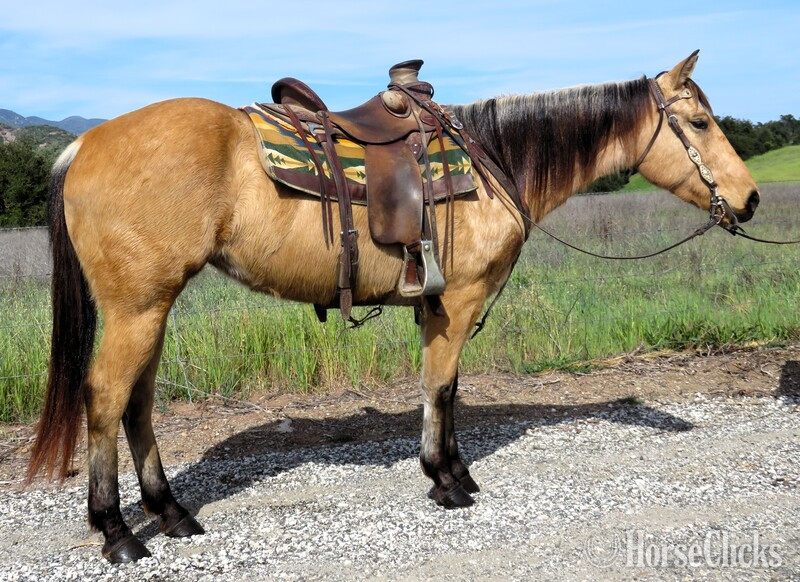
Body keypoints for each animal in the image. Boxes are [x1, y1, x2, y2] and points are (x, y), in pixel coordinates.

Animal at [27, 51, 759, 563]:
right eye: (697, 122)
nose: (750, 199)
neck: (494, 160)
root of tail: (83, 145)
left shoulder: (438, 306)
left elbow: (450, 390)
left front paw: (457, 470)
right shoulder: (458, 299)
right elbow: (438, 388)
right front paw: (445, 480)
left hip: (151, 308)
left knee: (139, 404)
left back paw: (172, 513)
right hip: (137, 309)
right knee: (106, 399)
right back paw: (118, 532)